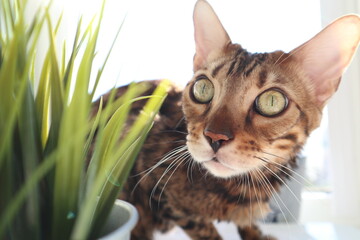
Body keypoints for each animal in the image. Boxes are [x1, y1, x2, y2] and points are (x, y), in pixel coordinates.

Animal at [96, 0, 360, 240]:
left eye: (272, 102)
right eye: (202, 88)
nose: (215, 137)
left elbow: (247, 222)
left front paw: (256, 234)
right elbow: (204, 229)